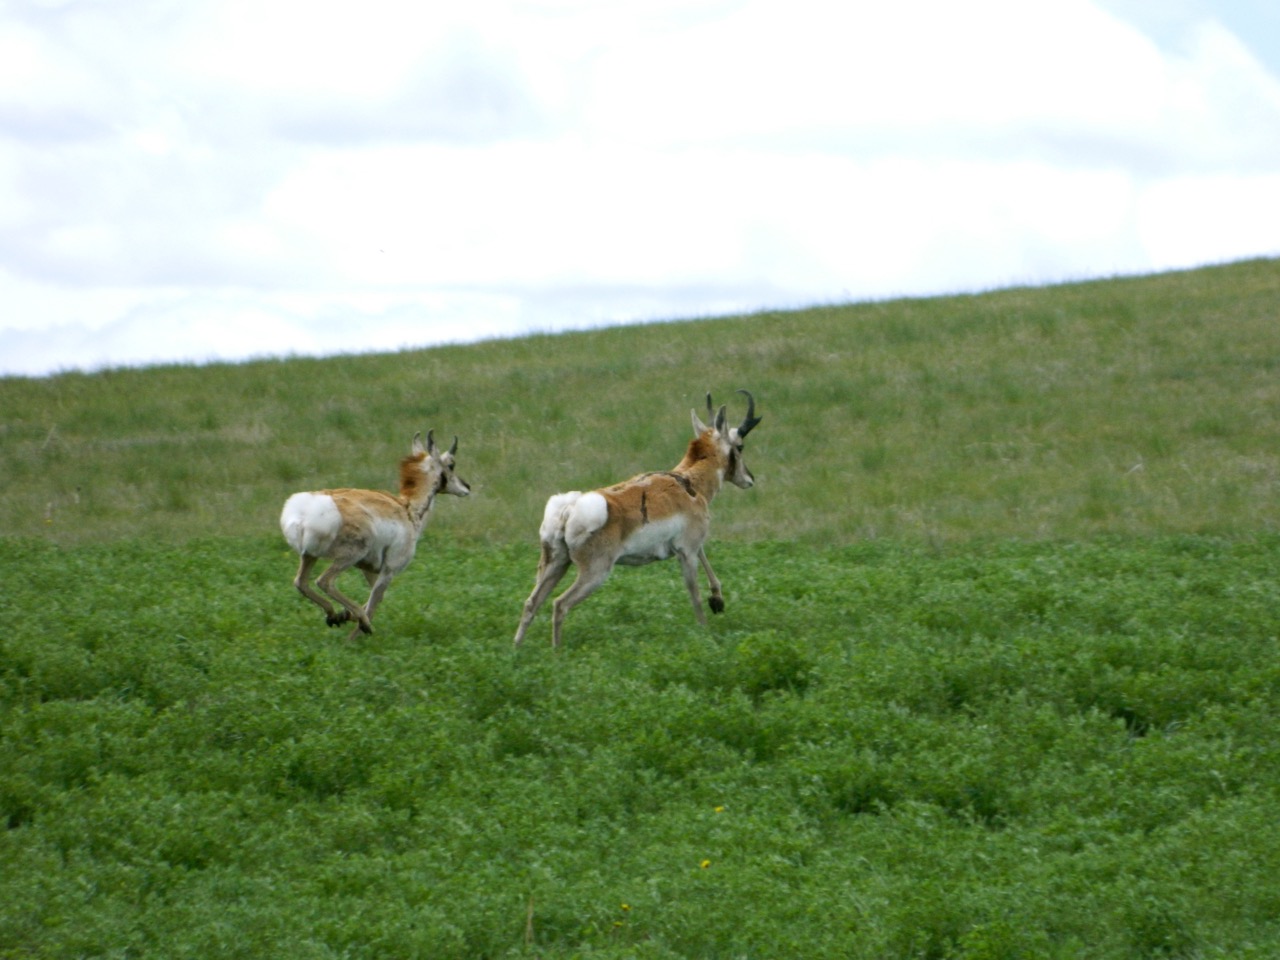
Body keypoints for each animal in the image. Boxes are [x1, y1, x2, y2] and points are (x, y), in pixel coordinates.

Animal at [280, 432, 471, 642]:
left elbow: (375, 597)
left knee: (301, 582)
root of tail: (304, 511)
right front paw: (355, 633)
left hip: (309, 556)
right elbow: (375, 601)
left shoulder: (369, 569)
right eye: (451, 464)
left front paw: (346, 616)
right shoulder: (389, 570)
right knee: (324, 581)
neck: (407, 509)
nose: (467, 487)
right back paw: (359, 622)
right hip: (348, 556)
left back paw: (334, 615)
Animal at [514, 394, 762, 650]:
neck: (688, 482)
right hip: (595, 572)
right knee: (560, 604)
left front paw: (718, 600)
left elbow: (707, 562)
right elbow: (695, 593)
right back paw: (557, 651)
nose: (750, 478)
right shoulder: (687, 551)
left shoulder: (692, 547)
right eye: (740, 446)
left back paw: (517, 648)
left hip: (556, 564)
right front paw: (705, 628)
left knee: (531, 603)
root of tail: (570, 508)